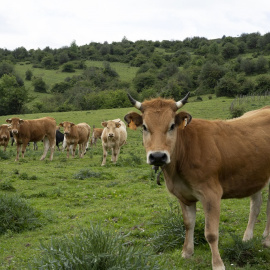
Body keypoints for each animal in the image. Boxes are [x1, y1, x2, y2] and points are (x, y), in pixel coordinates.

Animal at [124, 93, 270, 270]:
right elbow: (188, 224)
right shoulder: (183, 195)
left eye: (172, 126)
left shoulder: (211, 194)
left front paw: (218, 264)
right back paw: (247, 238)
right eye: (144, 127)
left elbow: (211, 233)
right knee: (256, 205)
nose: (158, 156)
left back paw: (266, 240)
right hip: (255, 175)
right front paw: (187, 252)